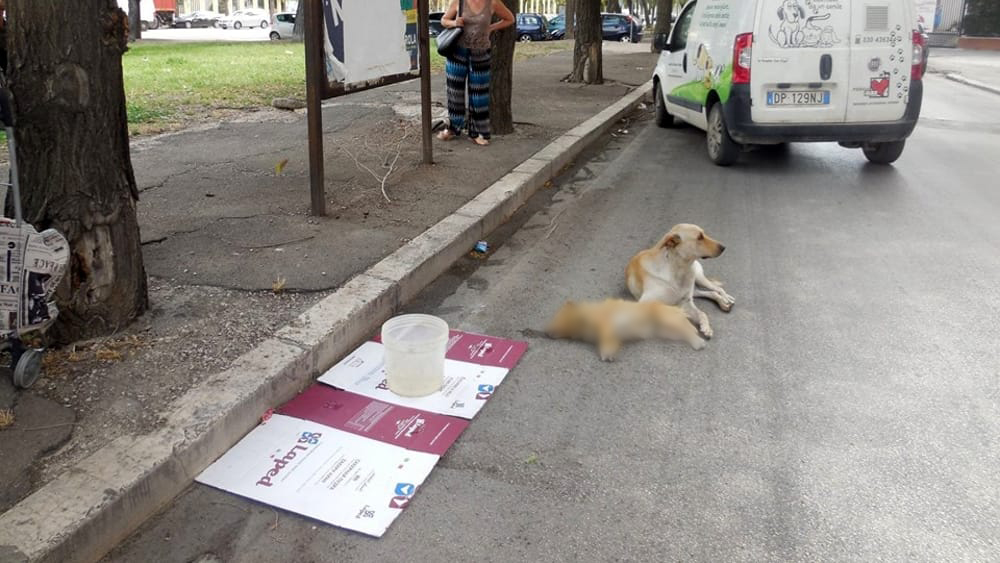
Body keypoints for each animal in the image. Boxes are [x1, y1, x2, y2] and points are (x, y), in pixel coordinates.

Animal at [548, 300, 704, 362]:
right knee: (685, 330)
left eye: (557, 319)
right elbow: (609, 342)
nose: (547, 333)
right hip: (667, 332)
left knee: (687, 329)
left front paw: (606, 352)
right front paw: (609, 352)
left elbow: (604, 337)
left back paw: (698, 342)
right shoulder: (612, 335)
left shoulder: (605, 323)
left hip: (666, 318)